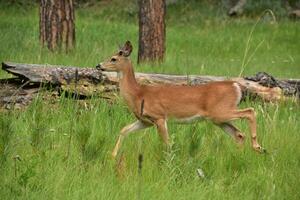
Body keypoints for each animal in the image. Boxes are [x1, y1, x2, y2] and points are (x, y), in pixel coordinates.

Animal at [96, 41, 264, 159]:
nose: (98, 65)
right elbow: (124, 130)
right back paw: (239, 157)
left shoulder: (159, 116)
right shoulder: (145, 121)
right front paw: (112, 155)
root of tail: (235, 86)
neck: (138, 93)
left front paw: (167, 162)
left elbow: (166, 143)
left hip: (220, 111)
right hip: (218, 118)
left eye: (113, 58)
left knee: (250, 111)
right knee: (239, 134)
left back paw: (257, 146)